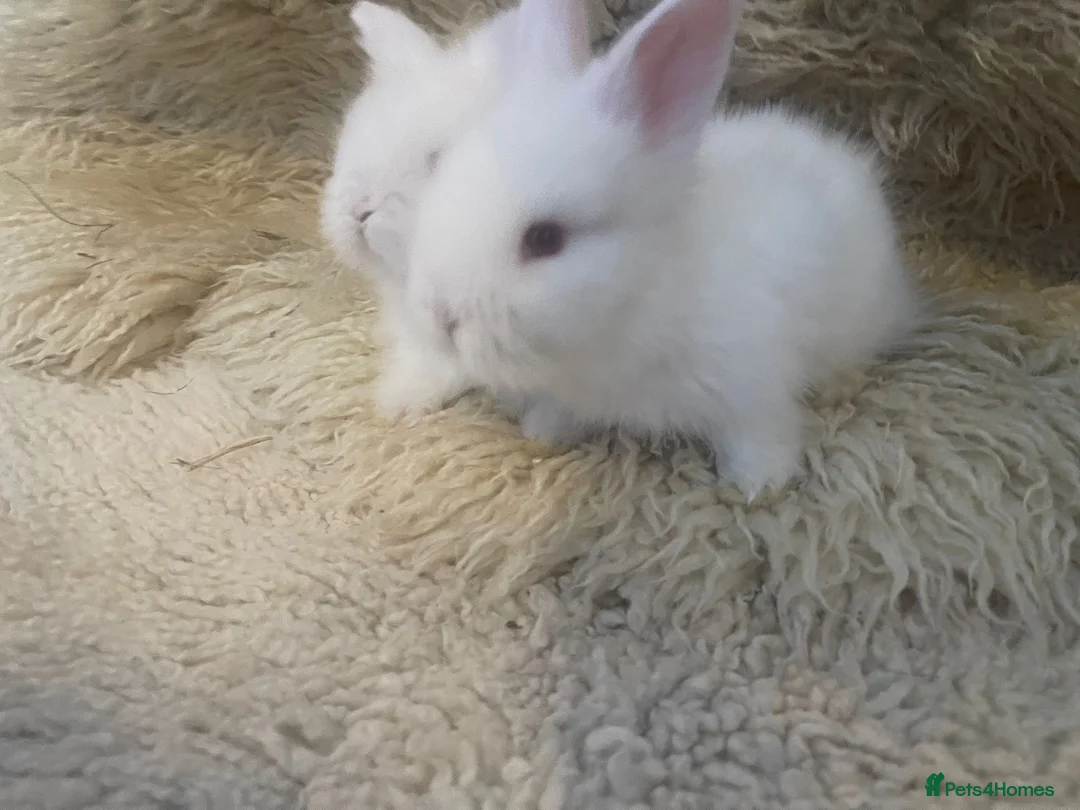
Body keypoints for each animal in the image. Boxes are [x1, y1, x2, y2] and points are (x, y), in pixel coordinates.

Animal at [399, 0, 921, 498]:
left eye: (545, 238)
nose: (440, 315)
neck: (642, 299)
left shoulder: (753, 386)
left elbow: (760, 433)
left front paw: (759, 485)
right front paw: (542, 432)